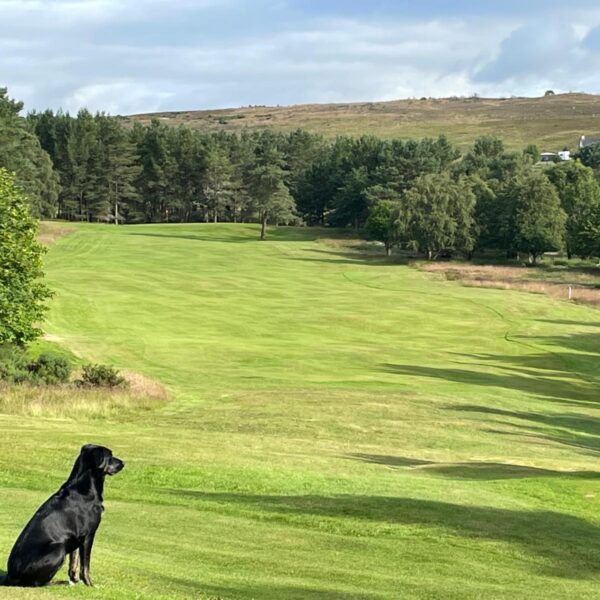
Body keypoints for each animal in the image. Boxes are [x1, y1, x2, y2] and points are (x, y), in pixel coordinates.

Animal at [0, 442, 123, 588]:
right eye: (110, 456)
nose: (123, 463)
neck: (84, 489)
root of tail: (10, 576)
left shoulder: (77, 537)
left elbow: (74, 562)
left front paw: (75, 580)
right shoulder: (88, 535)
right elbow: (85, 566)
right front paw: (90, 584)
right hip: (58, 548)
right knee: (37, 583)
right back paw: (56, 583)